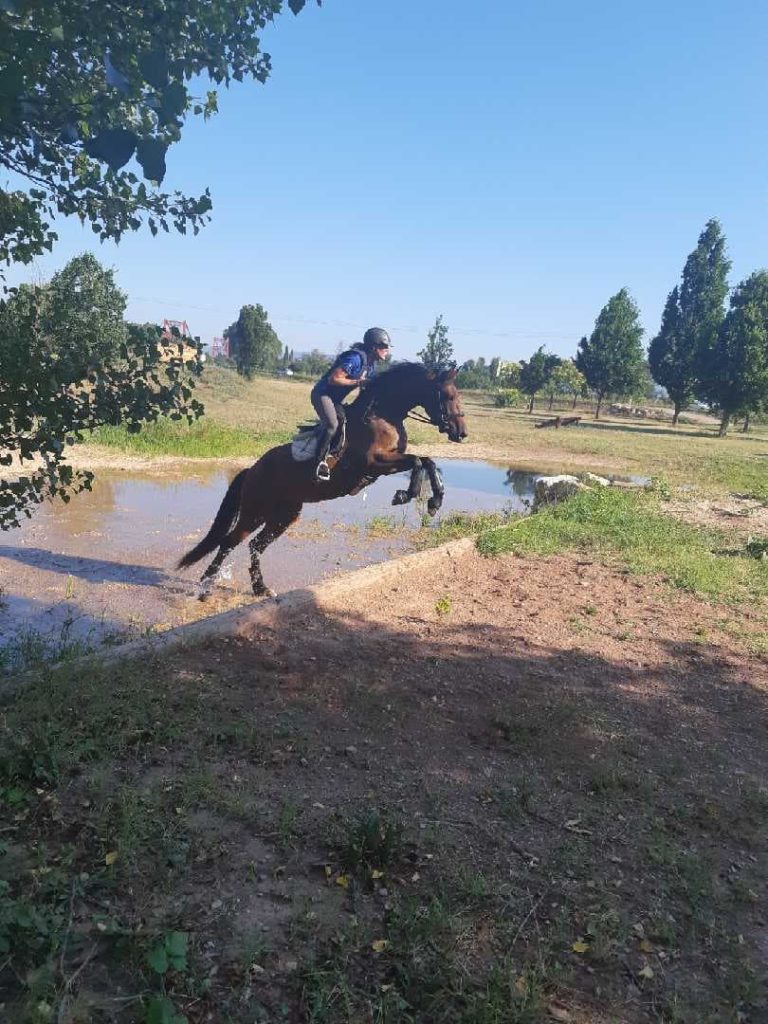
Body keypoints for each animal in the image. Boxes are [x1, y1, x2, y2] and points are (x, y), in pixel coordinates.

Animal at [179, 362, 468, 598]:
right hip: (255, 511)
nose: (462, 433)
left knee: (255, 546)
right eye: (449, 396)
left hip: (284, 515)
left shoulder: (385, 464)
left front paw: (435, 501)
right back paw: (205, 588)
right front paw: (406, 495)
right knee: (229, 542)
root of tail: (252, 469)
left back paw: (260, 589)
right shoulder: (372, 463)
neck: (383, 414)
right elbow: (419, 461)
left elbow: (427, 461)